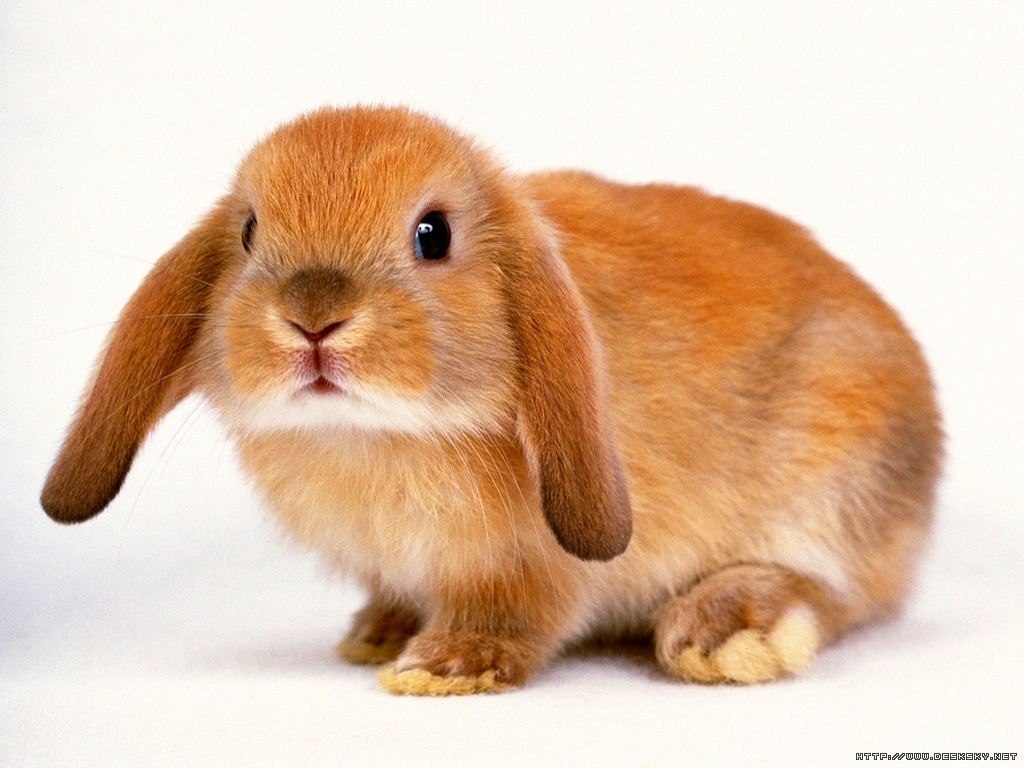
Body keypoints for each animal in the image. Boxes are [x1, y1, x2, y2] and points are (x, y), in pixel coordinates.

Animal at [41, 106, 942, 695]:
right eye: (250, 232)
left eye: (432, 235)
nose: (312, 317)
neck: (373, 435)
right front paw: (381, 636)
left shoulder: (530, 566)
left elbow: (517, 614)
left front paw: (443, 667)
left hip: (832, 484)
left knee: (834, 591)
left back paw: (724, 633)